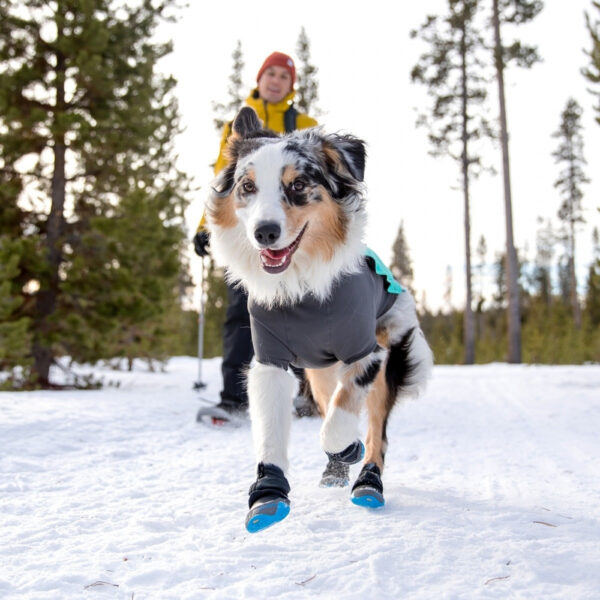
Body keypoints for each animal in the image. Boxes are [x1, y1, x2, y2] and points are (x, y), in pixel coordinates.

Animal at [204, 108, 434, 536]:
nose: (265, 232)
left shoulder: (367, 351)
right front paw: (268, 495)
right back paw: (336, 472)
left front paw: (347, 446)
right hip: (319, 371)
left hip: (390, 350)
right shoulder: (270, 359)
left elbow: (338, 424)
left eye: (298, 185)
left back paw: (367, 481)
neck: (302, 289)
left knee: (375, 432)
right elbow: (272, 428)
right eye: (247, 186)